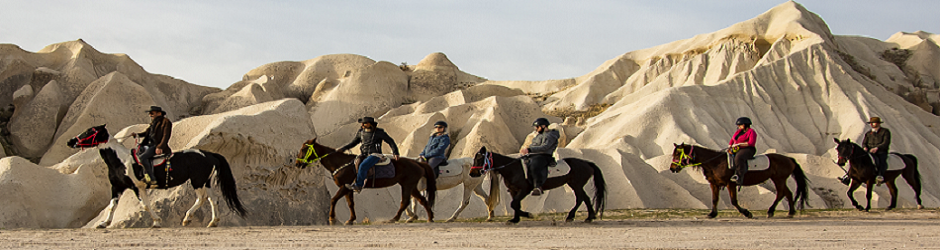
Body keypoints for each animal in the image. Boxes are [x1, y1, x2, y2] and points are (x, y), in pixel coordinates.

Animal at [67, 124, 248, 228]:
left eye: (89, 131)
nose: (70, 142)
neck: (120, 161)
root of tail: (209, 154)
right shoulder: (117, 187)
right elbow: (112, 205)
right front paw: (104, 223)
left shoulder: (137, 187)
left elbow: (145, 205)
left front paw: (157, 222)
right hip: (206, 182)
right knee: (213, 199)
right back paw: (213, 222)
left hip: (197, 181)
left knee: (202, 199)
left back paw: (187, 219)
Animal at [294, 138, 436, 226]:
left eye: (303, 149)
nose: (297, 164)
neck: (341, 163)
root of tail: (417, 162)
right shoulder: (349, 188)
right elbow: (351, 204)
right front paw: (351, 220)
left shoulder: (344, 187)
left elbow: (333, 200)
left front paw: (332, 219)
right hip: (411, 186)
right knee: (422, 200)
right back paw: (430, 218)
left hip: (407, 185)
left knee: (405, 202)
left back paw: (394, 219)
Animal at [466, 146, 604, 224]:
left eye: (480, 159)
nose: (472, 173)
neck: (513, 168)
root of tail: (587, 163)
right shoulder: (514, 190)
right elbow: (515, 204)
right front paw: (515, 220)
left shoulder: (524, 189)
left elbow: (514, 204)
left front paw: (528, 214)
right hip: (575, 184)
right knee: (585, 198)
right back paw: (589, 217)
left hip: (576, 184)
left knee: (580, 198)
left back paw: (571, 216)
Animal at [668, 144, 808, 218]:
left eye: (677, 154)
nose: (672, 168)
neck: (716, 162)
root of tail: (789, 159)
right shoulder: (714, 184)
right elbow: (714, 199)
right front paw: (712, 214)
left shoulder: (731, 184)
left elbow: (734, 201)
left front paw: (747, 213)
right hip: (779, 179)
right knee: (787, 193)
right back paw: (790, 212)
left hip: (779, 179)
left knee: (781, 193)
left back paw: (771, 211)